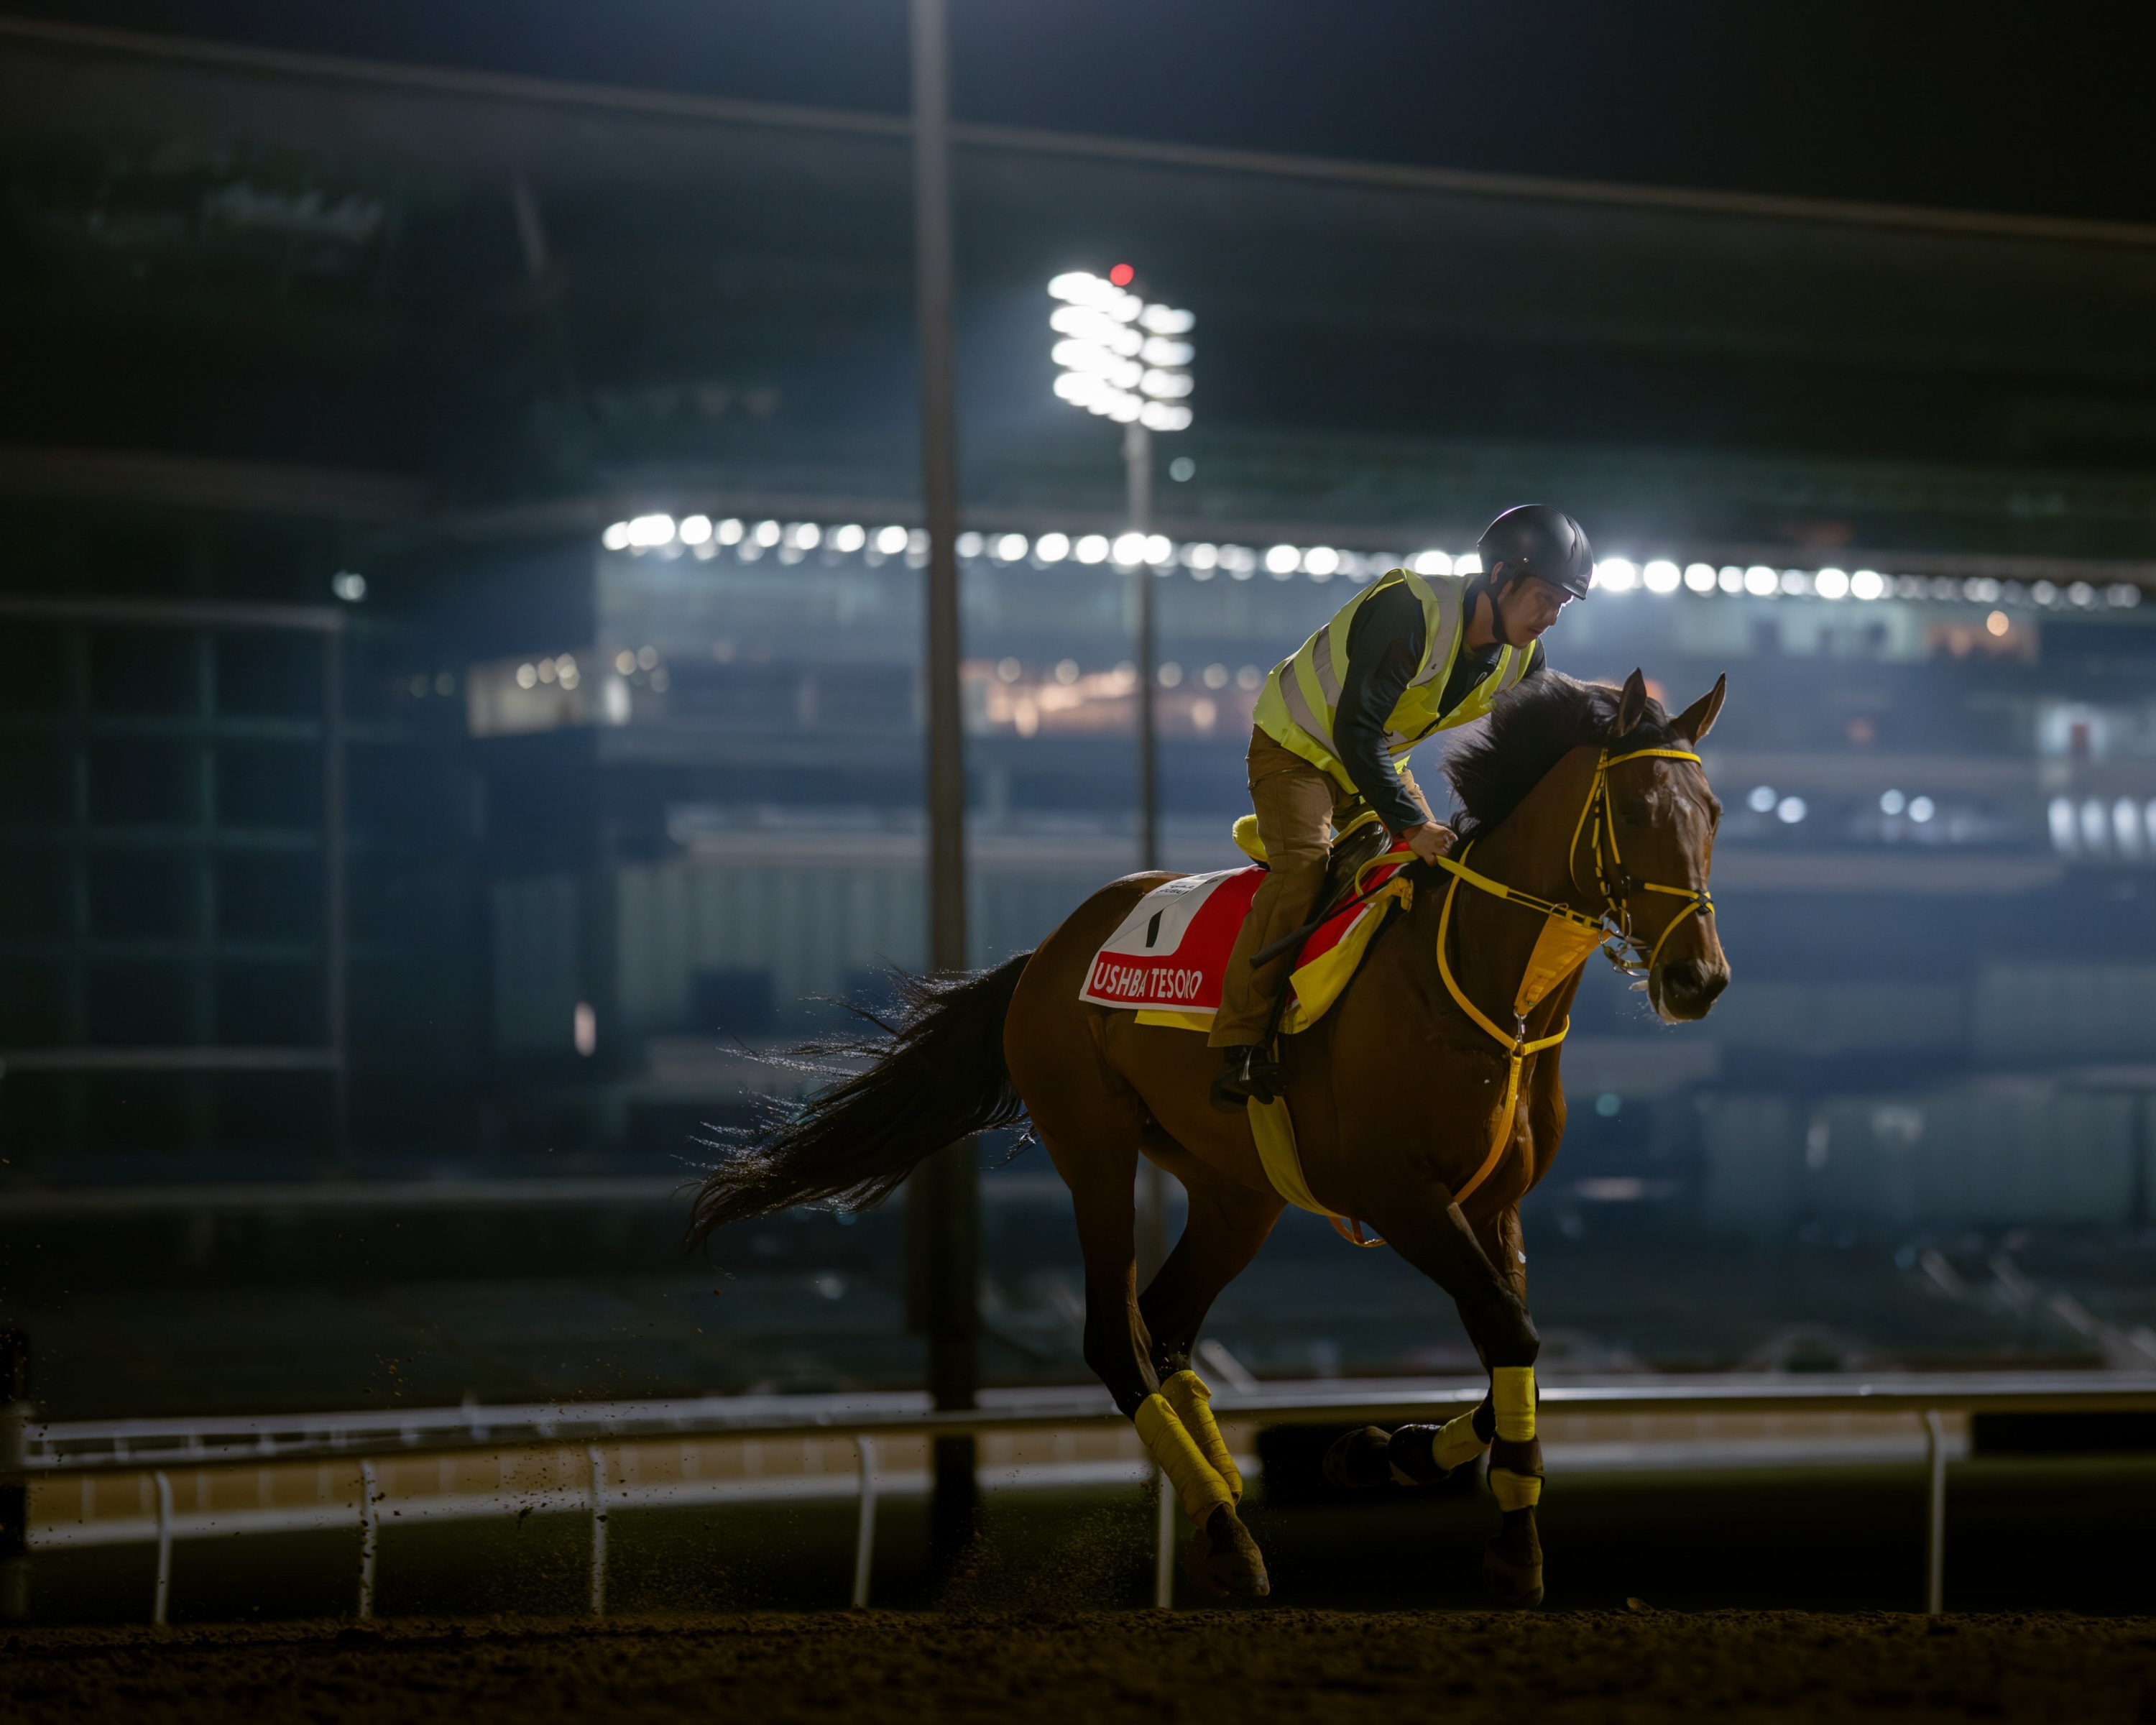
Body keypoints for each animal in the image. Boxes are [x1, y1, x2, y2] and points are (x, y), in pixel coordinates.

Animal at [690, 668, 1733, 1604]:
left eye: (1715, 811)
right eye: (1637, 805)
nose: (1698, 979)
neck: (1479, 986)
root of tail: (1049, 951)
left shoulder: (1495, 1205)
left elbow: (1515, 1350)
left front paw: (1380, 1455)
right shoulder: (1403, 1196)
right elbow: (1508, 1333)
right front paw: (1509, 1548)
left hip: (1240, 1191)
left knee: (1169, 1327)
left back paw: (1220, 1503)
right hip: (1095, 1150)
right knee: (1118, 1338)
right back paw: (1227, 1534)